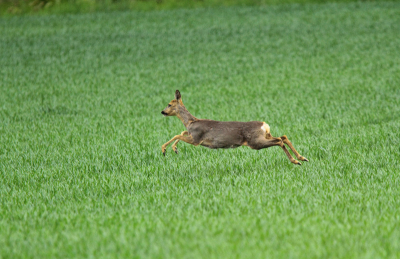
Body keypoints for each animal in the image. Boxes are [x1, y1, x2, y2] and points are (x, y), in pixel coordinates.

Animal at [161, 90, 308, 166]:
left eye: (169, 104)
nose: (162, 112)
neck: (190, 122)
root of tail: (264, 125)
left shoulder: (197, 139)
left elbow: (178, 134)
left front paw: (165, 149)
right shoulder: (192, 135)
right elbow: (181, 132)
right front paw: (174, 149)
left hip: (255, 141)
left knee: (279, 140)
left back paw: (295, 160)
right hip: (265, 135)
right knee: (283, 137)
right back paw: (302, 158)